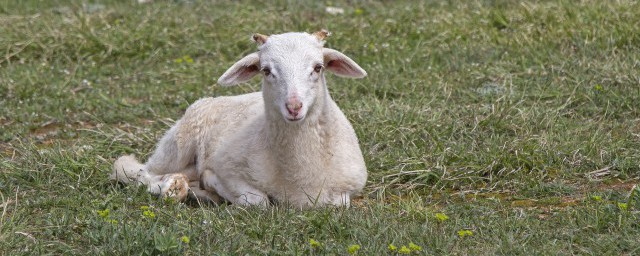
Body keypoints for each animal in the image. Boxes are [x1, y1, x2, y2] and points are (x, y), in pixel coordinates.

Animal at [112, 30, 368, 208]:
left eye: (318, 67)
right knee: (139, 172)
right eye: (266, 70)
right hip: (178, 144)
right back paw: (173, 188)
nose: (294, 107)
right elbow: (259, 201)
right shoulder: (228, 168)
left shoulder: (348, 188)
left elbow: (339, 203)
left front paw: (207, 190)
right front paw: (212, 184)